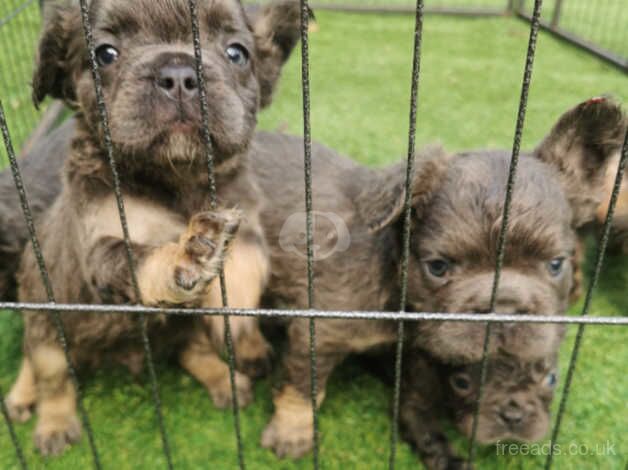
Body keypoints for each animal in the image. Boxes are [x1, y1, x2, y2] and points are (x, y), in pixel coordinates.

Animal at [4, 0, 302, 458]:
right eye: (105, 54)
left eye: (237, 53)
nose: (179, 74)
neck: (177, 181)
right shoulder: (102, 242)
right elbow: (139, 259)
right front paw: (187, 254)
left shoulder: (246, 225)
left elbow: (244, 270)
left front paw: (240, 330)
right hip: (46, 329)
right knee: (49, 375)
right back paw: (42, 415)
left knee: (191, 352)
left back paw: (226, 380)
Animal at [400, 346, 560, 468]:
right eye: (461, 383)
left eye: (551, 379)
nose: (512, 415)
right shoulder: (415, 400)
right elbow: (429, 438)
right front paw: (453, 464)